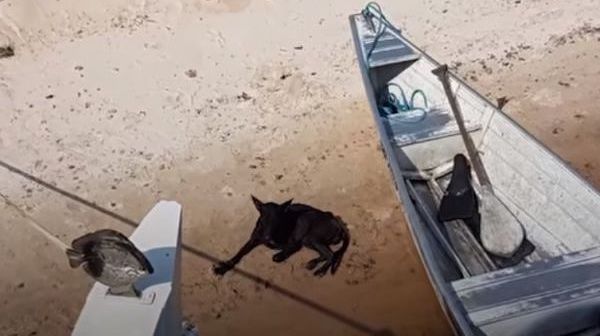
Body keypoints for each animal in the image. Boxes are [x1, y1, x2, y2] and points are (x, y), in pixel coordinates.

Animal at [213, 196, 350, 276]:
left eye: (277, 219)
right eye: (263, 219)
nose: (267, 238)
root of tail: (336, 220)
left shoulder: (294, 243)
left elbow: (280, 254)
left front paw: (279, 256)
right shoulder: (253, 239)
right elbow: (238, 254)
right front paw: (222, 268)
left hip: (310, 235)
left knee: (331, 254)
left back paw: (321, 271)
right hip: (310, 241)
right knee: (327, 254)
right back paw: (312, 263)